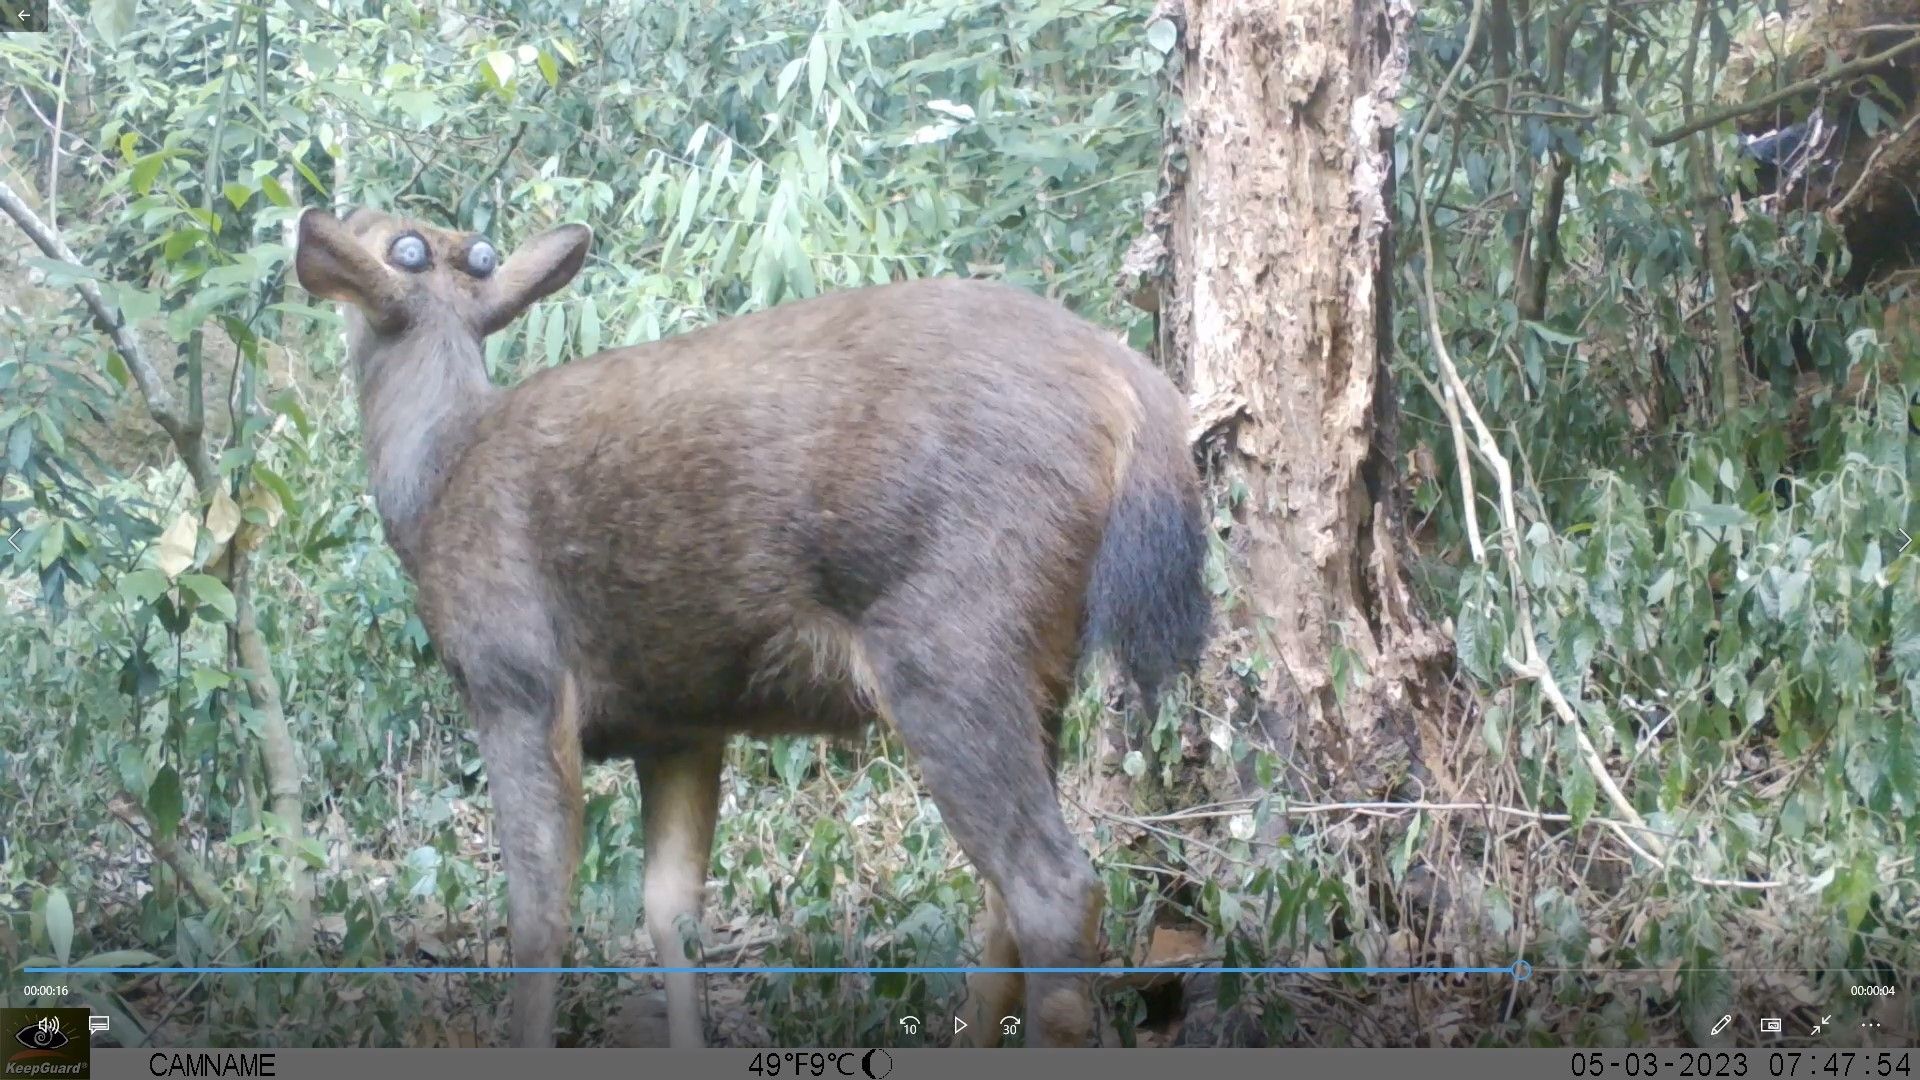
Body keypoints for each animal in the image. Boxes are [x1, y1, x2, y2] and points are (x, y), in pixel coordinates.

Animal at [289, 201, 1205, 1045]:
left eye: (397, 244)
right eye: (437, 249)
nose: (344, 213)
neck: (433, 482)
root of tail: (1137, 393)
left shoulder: (513, 677)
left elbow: (538, 916)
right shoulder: (679, 723)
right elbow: (672, 914)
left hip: (952, 641)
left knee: (1052, 887)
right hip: (1039, 667)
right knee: (1003, 896)